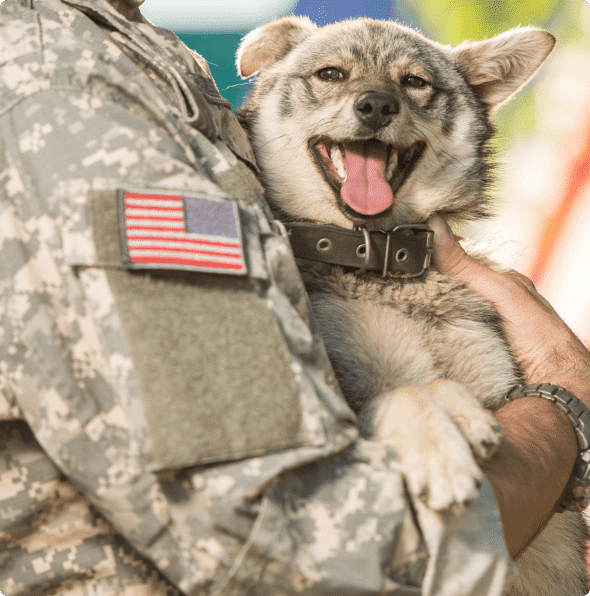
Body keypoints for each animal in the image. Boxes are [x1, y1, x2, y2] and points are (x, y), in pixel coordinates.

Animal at [238, 16, 588, 592]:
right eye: (331, 74)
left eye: (415, 83)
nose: (377, 105)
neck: (387, 267)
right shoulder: (342, 397)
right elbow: (403, 394)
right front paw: (442, 444)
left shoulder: (497, 383)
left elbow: (445, 387)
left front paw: (461, 416)